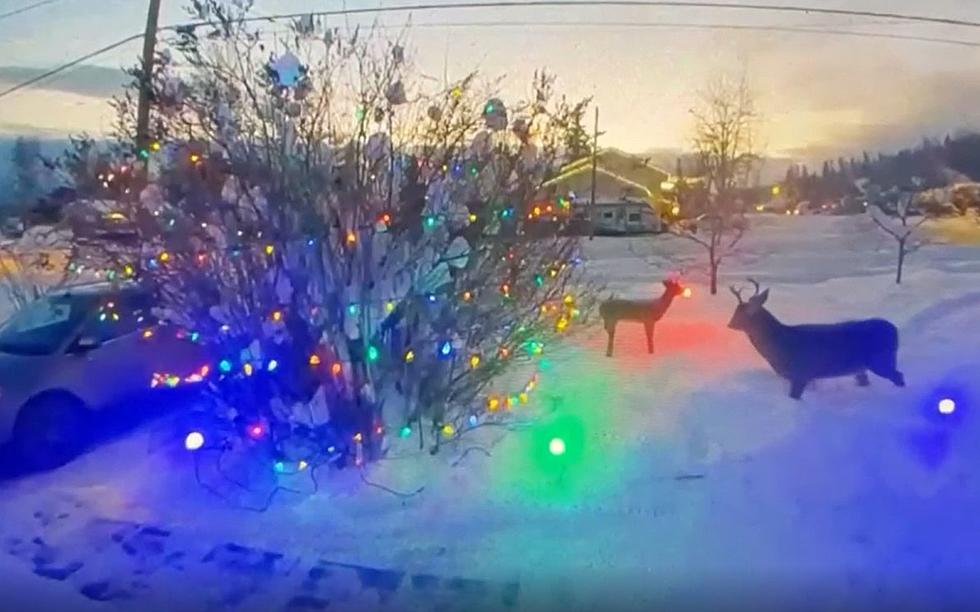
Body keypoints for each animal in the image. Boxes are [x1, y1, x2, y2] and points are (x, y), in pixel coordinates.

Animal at [728, 278, 904, 402]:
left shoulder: (801, 372)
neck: (781, 344)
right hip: (861, 367)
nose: (730, 324)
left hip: (881, 360)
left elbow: (794, 396)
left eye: (744, 313)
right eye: (735, 311)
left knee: (899, 376)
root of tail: (895, 330)